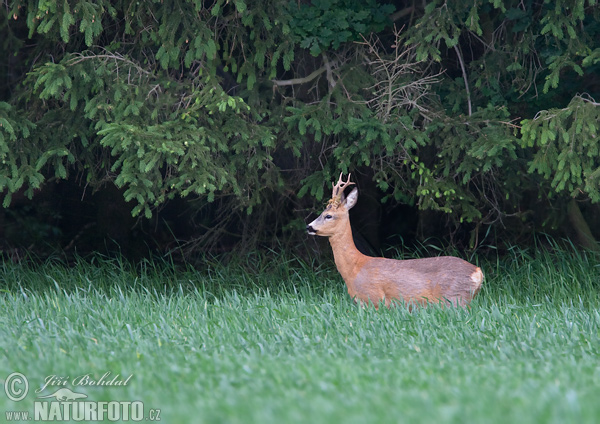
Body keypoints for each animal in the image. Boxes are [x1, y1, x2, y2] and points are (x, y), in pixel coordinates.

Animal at [308, 172, 486, 308]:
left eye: (328, 215)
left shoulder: (373, 298)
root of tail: (477, 272)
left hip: (454, 297)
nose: (309, 227)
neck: (354, 269)